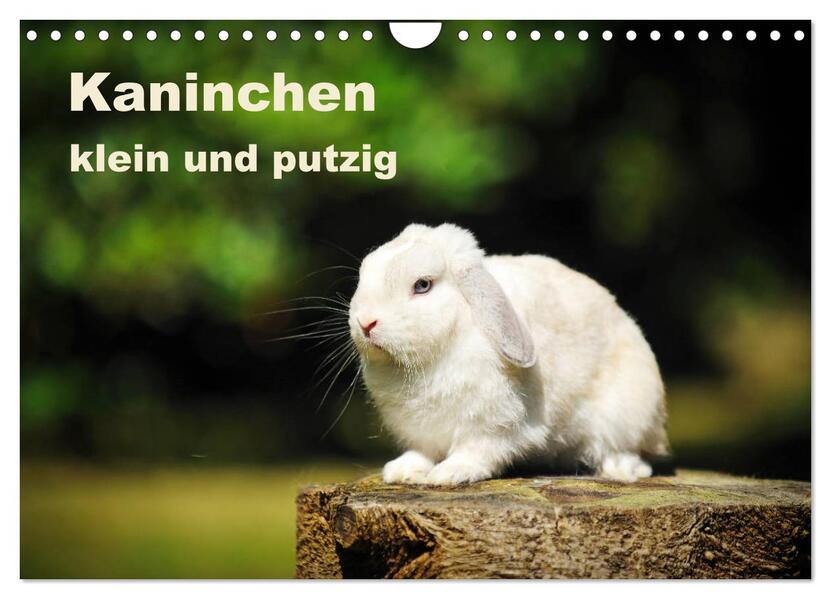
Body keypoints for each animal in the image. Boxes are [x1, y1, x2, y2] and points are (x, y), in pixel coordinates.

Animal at [348, 223, 669, 485]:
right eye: (363, 274)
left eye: (422, 285)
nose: (366, 323)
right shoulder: (423, 431)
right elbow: (423, 451)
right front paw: (402, 471)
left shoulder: (493, 425)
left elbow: (476, 451)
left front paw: (450, 474)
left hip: (625, 413)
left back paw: (620, 470)